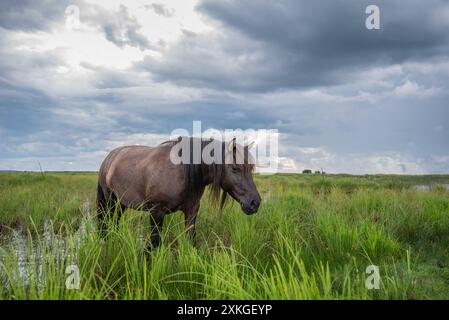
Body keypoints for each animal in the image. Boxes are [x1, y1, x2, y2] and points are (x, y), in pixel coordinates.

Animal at [96, 136, 260, 249]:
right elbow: (154, 242)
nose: (255, 202)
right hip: (110, 202)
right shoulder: (156, 213)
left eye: (251, 168)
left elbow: (191, 238)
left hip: (121, 204)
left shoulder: (192, 211)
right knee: (108, 223)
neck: (182, 172)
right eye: (235, 168)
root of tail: (109, 159)